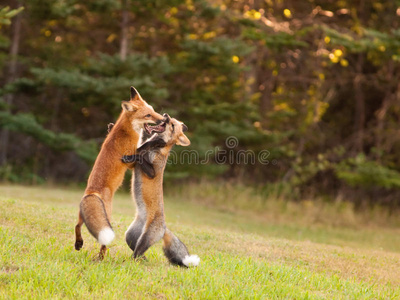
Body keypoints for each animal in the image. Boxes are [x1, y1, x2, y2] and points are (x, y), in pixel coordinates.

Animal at [74, 85, 166, 258]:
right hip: (107, 217)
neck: (127, 129)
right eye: (148, 115)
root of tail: (92, 192)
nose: (163, 120)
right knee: (101, 240)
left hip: (84, 215)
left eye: (153, 110)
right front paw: (157, 142)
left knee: (77, 225)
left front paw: (109, 127)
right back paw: (101, 256)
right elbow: (143, 148)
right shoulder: (130, 160)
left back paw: (78, 244)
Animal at [122, 113, 200, 266]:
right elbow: (139, 150)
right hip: (130, 237)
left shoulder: (153, 172)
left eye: (172, 125)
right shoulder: (135, 164)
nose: (166, 115)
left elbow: (139, 156)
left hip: (144, 239)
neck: (154, 147)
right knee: (139, 253)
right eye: (172, 121)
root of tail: (164, 228)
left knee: (137, 254)